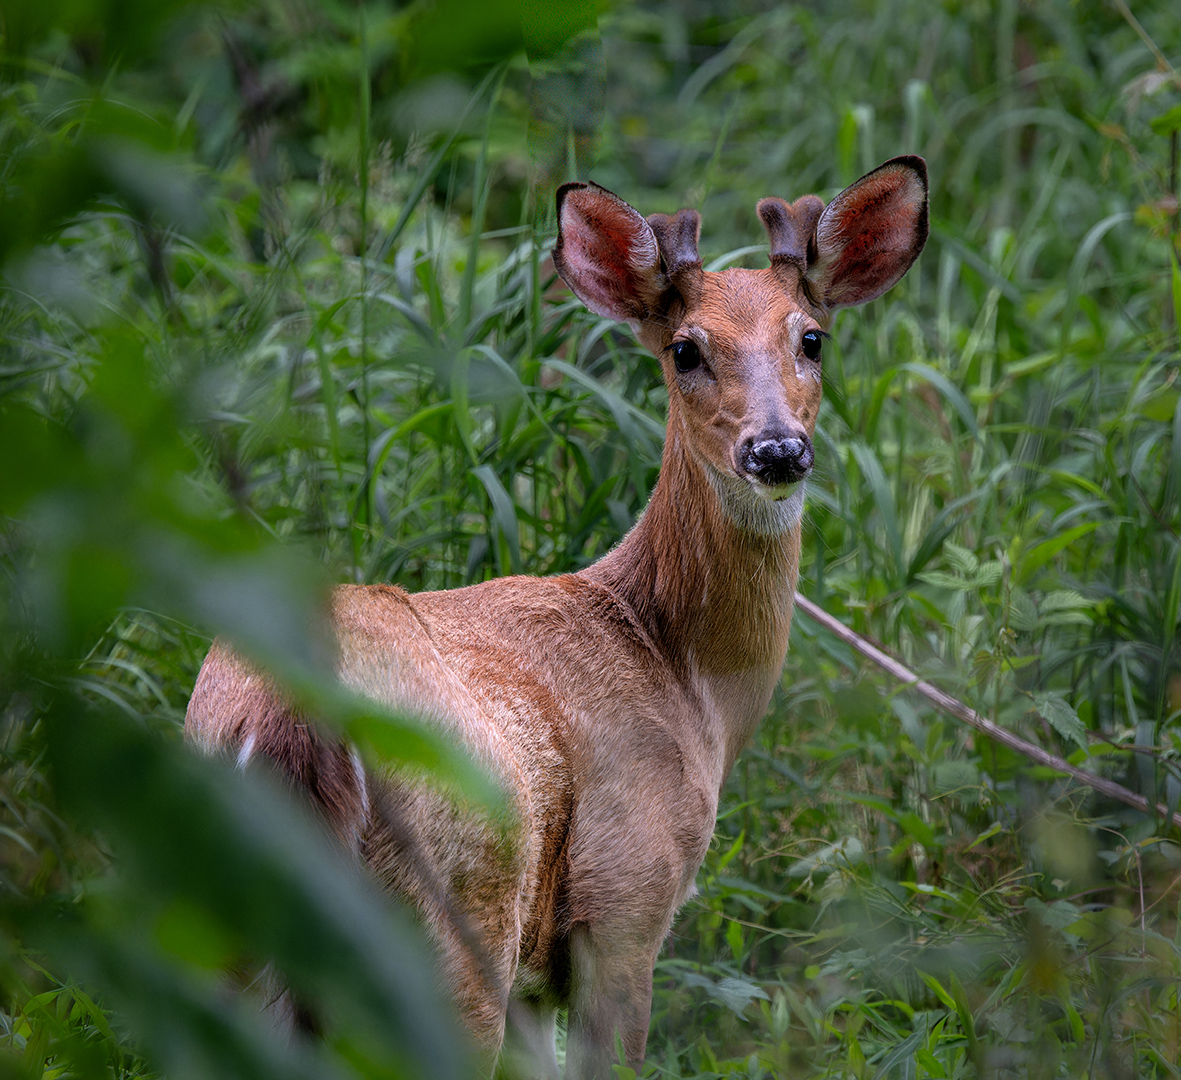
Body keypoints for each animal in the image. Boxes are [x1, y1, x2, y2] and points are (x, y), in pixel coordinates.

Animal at [184, 155, 925, 1072]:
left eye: (811, 338)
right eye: (685, 349)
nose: (777, 449)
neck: (681, 674)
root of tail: (295, 715)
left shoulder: (539, 980)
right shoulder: (623, 899)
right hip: (457, 918)